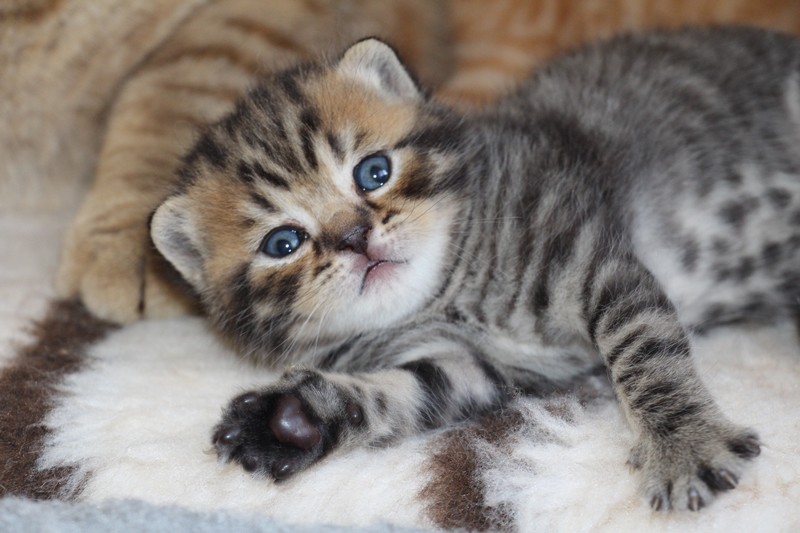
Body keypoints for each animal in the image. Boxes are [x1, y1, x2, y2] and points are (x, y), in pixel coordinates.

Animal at [152, 27, 800, 510]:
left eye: (373, 172)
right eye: (283, 242)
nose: (356, 238)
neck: (450, 294)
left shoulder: (595, 263)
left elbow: (645, 348)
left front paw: (683, 444)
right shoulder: (476, 367)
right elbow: (407, 391)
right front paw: (290, 420)